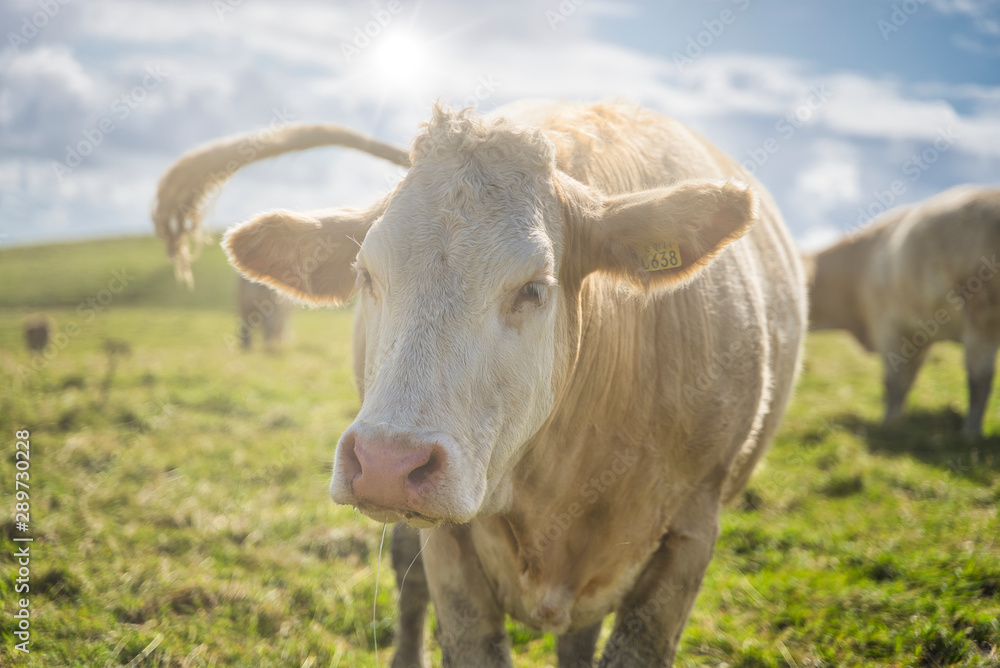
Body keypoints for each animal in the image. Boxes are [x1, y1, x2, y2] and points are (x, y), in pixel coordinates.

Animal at [804, 185, 1000, 436]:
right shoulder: (919, 335)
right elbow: (908, 379)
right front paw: (898, 420)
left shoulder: (887, 325)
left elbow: (893, 381)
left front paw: (888, 423)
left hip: (981, 313)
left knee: (979, 378)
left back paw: (970, 434)